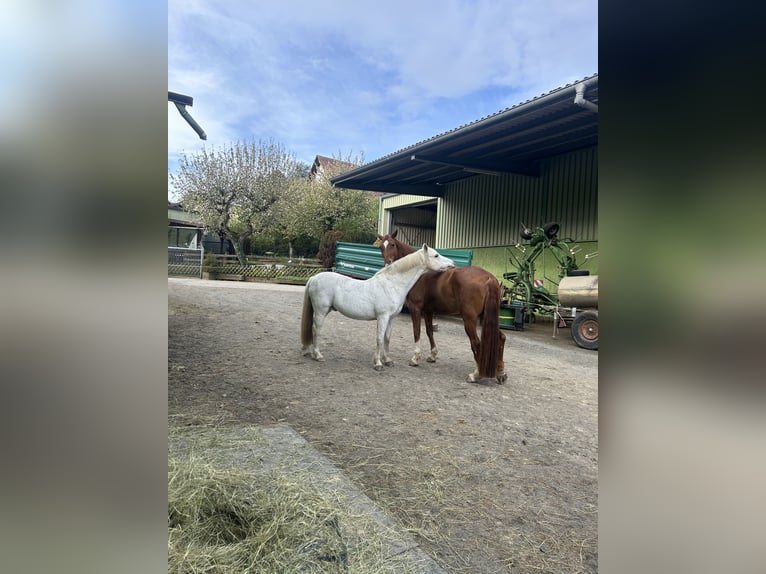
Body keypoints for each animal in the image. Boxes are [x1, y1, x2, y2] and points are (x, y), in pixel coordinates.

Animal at [376, 232, 508, 384]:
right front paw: (433, 355)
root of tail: (489, 277)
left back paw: (476, 375)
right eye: (381, 247)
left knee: (476, 343)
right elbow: (429, 331)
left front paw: (415, 358)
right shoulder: (428, 311)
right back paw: (501, 373)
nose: (388, 263)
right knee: (501, 337)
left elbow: (417, 332)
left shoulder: (415, 308)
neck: (420, 273)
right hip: (487, 317)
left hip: (469, 319)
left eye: (392, 244)